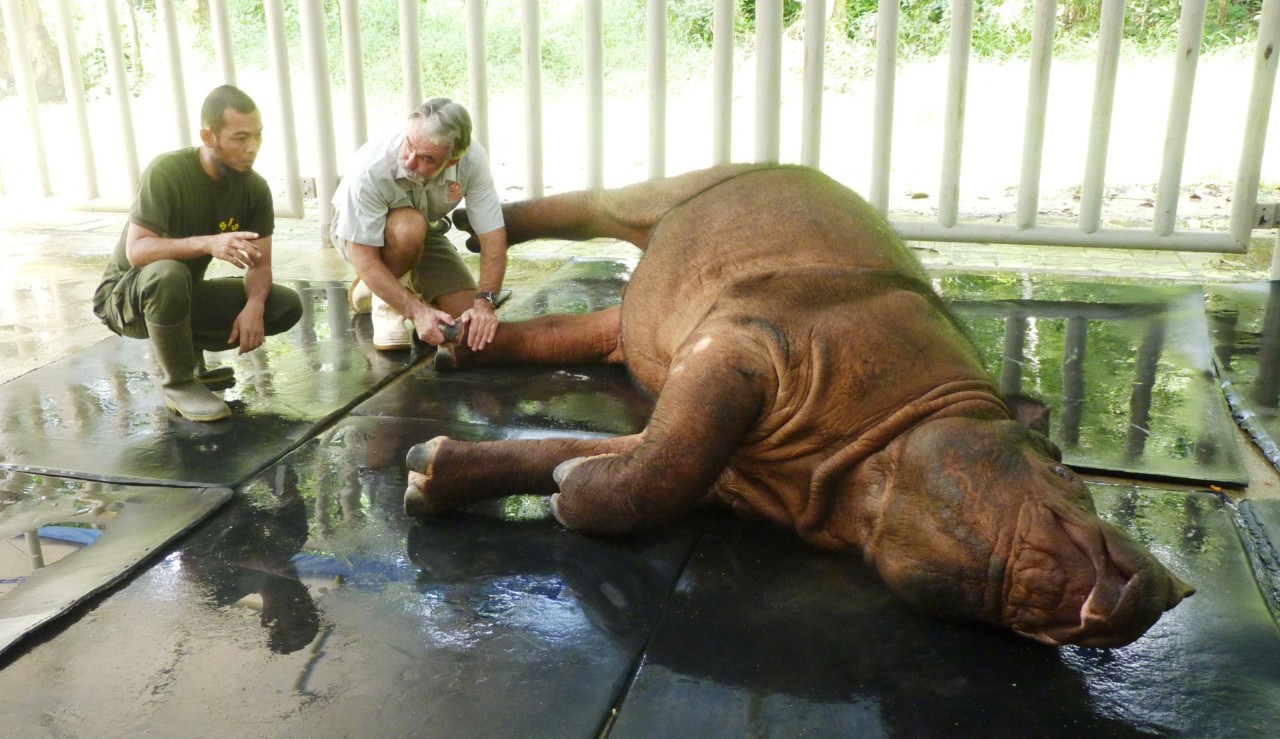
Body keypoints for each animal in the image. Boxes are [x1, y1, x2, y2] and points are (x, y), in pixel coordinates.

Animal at [405, 164, 1193, 647]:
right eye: (1064, 470)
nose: (1175, 587)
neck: (858, 469)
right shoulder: (745, 346)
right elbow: (668, 459)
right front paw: (558, 497)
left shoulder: (729, 470)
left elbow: (627, 462)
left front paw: (433, 474)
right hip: (672, 192)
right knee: (595, 204)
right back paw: (469, 224)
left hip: (631, 326)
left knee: (570, 333)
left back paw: (452, 347)